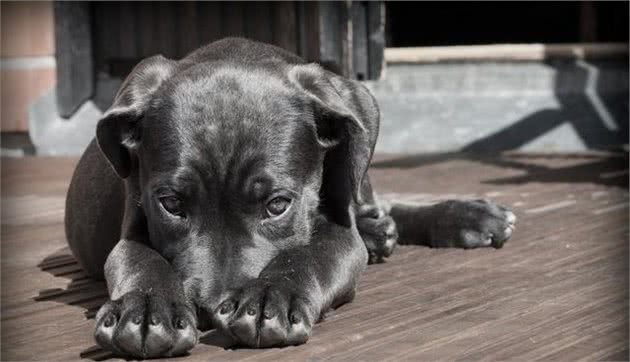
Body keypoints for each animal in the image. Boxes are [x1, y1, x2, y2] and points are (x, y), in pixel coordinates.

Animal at [65, 37, 520, 360]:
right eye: (172, 205)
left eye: (277, 205)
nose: (211, 310)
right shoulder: (133, 224)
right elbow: (139, 260)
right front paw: (145, 310)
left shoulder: (340, 233)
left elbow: (310, 254)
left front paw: (272, 297)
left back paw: (463, 217)